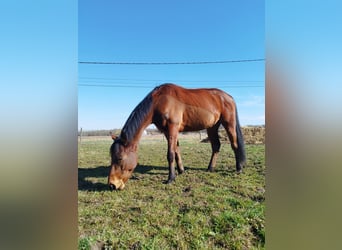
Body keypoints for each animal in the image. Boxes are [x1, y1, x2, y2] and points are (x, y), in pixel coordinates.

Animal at [108, 83, 244, 190]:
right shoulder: (167, 131)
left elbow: (170, 153)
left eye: (119, 158)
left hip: (229, 124)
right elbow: (177, 150)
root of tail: (228, 97)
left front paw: (171, 178)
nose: (112, 184)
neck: (159, 101)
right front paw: (181, 171)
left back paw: (239, 168)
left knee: (234, 144)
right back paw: (210, 168)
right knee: (216, 146)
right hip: (212, 127)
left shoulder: (172, 128)